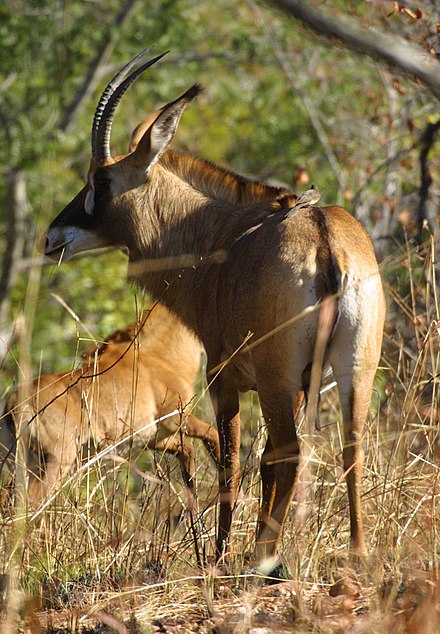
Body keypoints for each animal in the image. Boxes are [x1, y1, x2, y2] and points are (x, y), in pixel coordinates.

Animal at [0, 302, 220, 504]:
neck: (158, 357)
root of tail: (12, 405)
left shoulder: (151, 437)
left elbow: (189, 452)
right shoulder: (175, 418)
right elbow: (213, 434)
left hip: (20, 464)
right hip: (56, 459)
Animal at [42, 51, 384, 572]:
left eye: (100, 179)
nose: (52, 238)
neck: (217, 233)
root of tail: (326, 243)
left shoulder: (223, 377)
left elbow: (231, 462)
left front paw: (220, 557)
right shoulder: (299, 383)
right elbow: (260, 462)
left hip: (275, 376)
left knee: (289, 453)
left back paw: (263, 561)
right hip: (353, 369)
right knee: (350, 446)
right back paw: (356, 555)